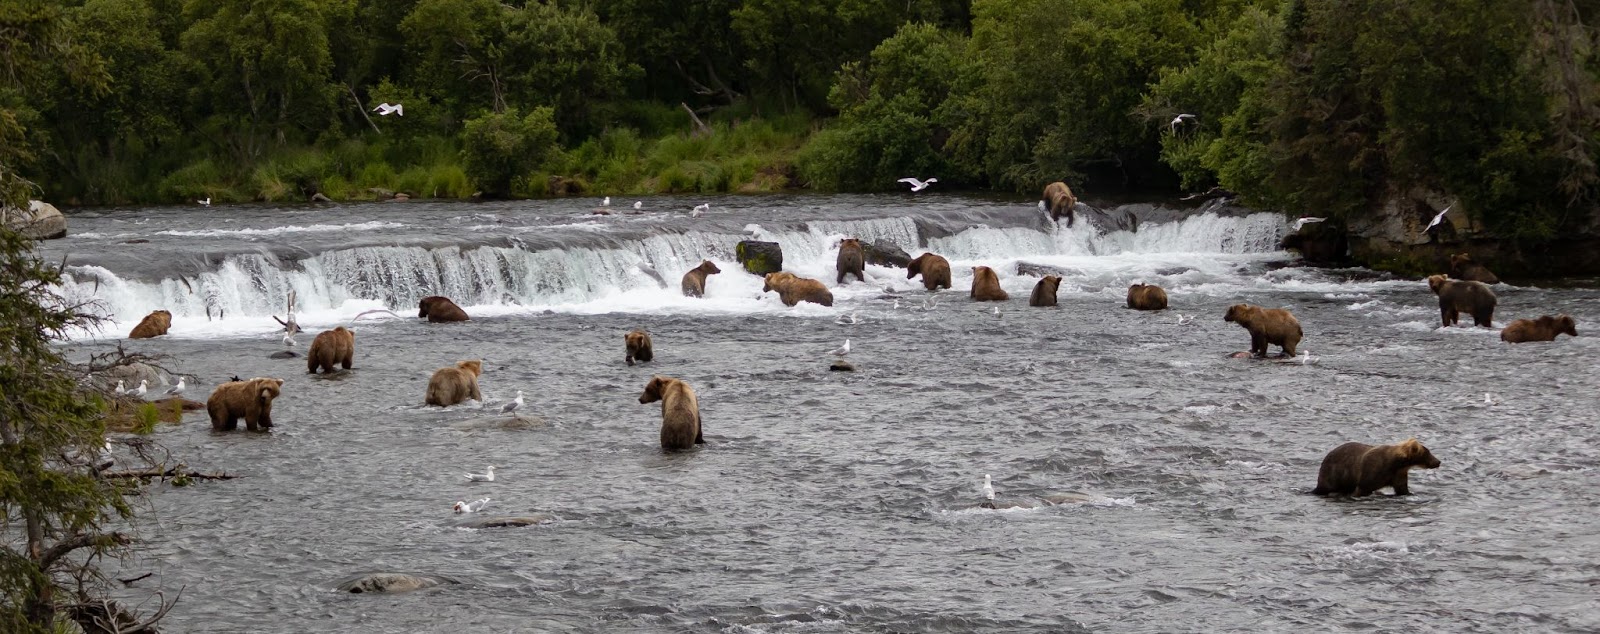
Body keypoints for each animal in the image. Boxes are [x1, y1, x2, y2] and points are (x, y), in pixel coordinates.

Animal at [1305, 438, 1446, 496]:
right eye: (1428, 453)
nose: (1438, 461)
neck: (1396, 463)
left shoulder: (1398, 474)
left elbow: (1402, 488)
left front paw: (1410, 493)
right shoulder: (1373, 469)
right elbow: (1363, 487)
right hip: (1335, 474)